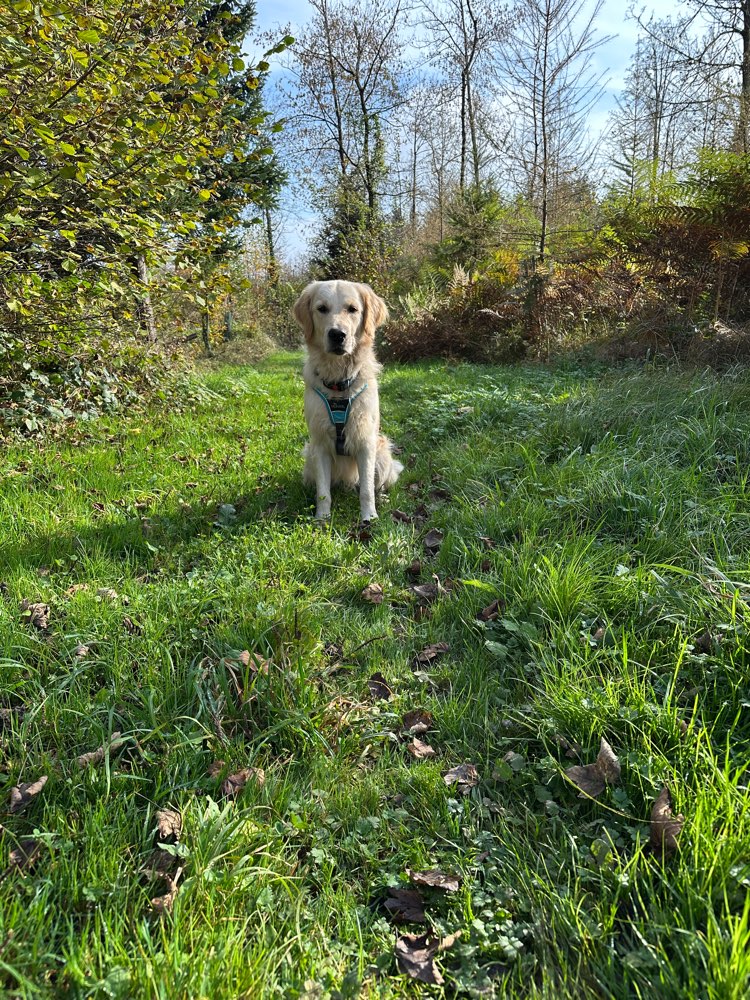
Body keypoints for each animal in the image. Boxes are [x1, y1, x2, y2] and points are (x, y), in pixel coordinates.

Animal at [292, 278, 402, 520]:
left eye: (352, 309)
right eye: (322, 308)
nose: (337, 334)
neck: (339, 382)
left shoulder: (367, 442)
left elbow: (367, 490)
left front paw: (369, 517)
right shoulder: (320, 444)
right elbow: (323, 492)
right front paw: (322, 519)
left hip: (382, 453)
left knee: (377, 484)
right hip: (309, 457)